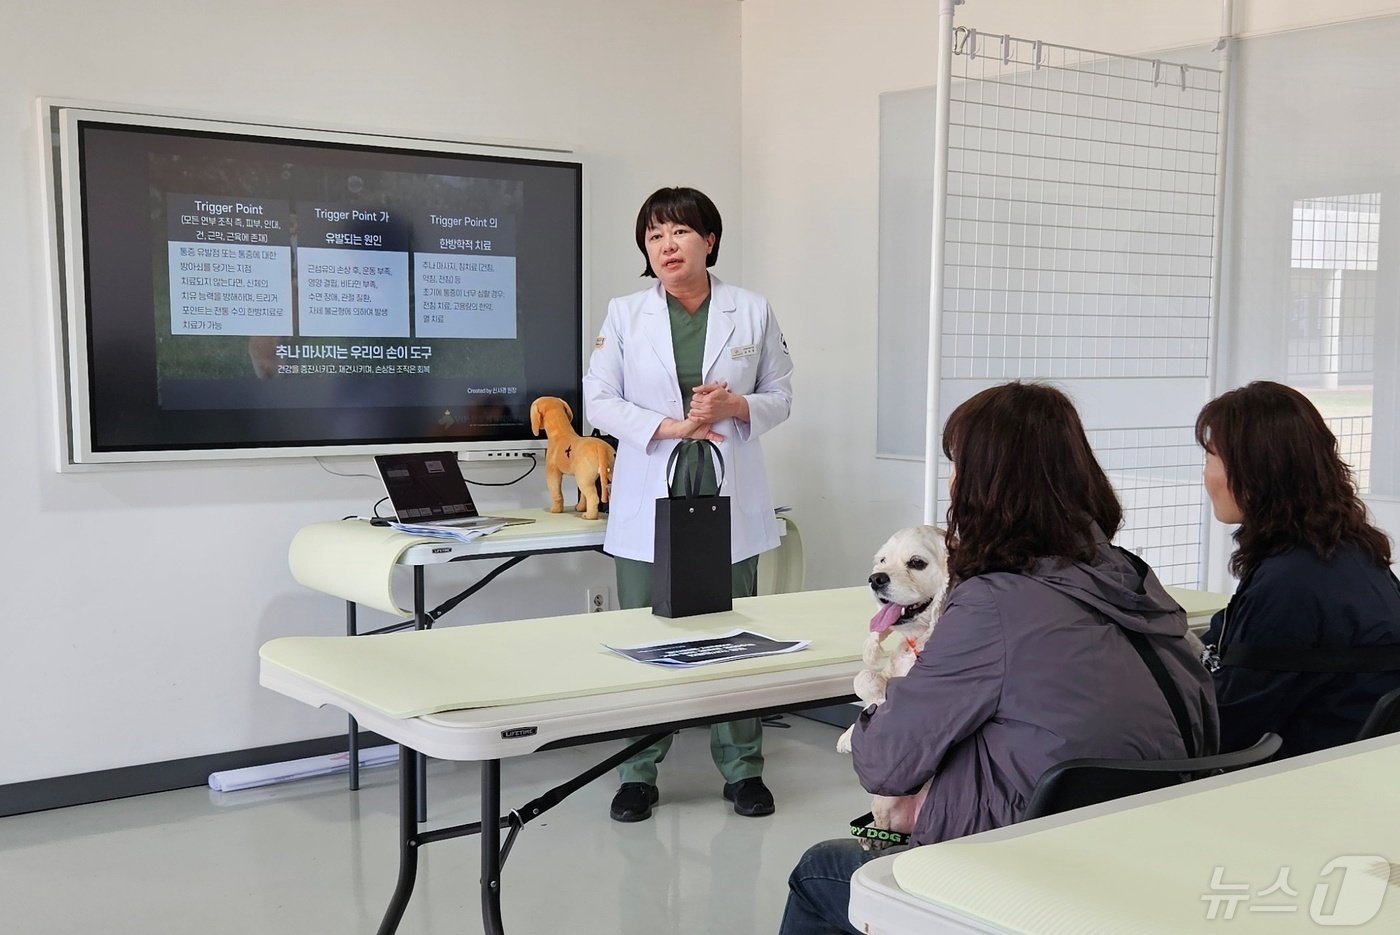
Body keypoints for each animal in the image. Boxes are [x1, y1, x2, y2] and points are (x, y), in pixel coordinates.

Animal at [840, 529, 952, 845]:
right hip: (886, 800)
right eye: (882, 560)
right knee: (884, 823)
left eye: (917, 562)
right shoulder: (890, 670)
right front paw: (847, 735)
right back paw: (873, 838)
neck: (920, 641)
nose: (875, 579)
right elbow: (865, 678)